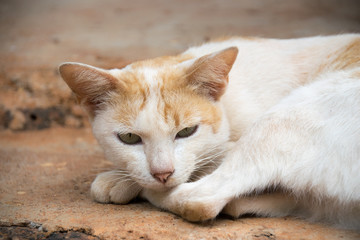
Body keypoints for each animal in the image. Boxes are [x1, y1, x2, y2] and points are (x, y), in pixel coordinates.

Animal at [59, 34, 360, 231]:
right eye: (129, 138)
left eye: (187, 131)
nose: (162, 174)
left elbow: (215, 156)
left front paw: (122, 181)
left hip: (284, 119)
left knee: (200, 200)